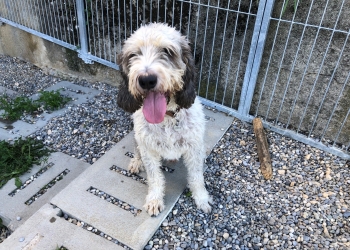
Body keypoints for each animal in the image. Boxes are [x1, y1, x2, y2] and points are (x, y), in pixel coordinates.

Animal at [117, 22, 211, 216]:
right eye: (133, 55)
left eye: (167, 51)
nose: (146, 80)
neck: (167, 118)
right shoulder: (148, 149)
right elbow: (154, 178)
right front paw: (154, 200)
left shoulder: (193, 148)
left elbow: (196, 176)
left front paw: (202, 198)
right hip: (137, 136)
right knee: (136, 149)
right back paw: (136, 162)